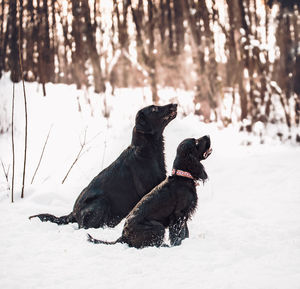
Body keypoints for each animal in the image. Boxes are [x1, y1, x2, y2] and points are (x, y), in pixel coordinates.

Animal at [29, 103, 177, 227]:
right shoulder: (147, 190)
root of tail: (73, 213)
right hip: (101, 201)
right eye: (154, 109)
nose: (175, 104)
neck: (147, 150)